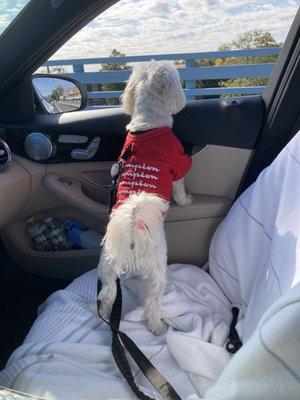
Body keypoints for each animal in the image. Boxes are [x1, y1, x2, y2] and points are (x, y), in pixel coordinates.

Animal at [98, 60, 192, 334]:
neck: (147, 126)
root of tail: (132, 233)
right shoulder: (178, 162)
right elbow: (179, 187)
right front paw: (186, 201)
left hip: (107, 265)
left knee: (106, 294)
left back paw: (101, 314)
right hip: (158, 270)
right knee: (152, 300)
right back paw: (157, 326)